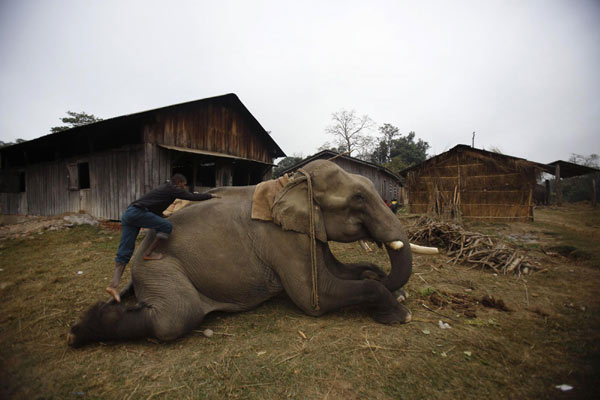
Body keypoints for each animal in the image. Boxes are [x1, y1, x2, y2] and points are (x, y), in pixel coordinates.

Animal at [68, 159, 436, 346]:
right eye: (358, 199)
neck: (290, 182)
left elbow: (345, 271)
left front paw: (396, 291)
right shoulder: (280, 239)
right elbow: (315, 298)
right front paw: (401, 314)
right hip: (162, 269)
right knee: (175, 318)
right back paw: (82, 330)